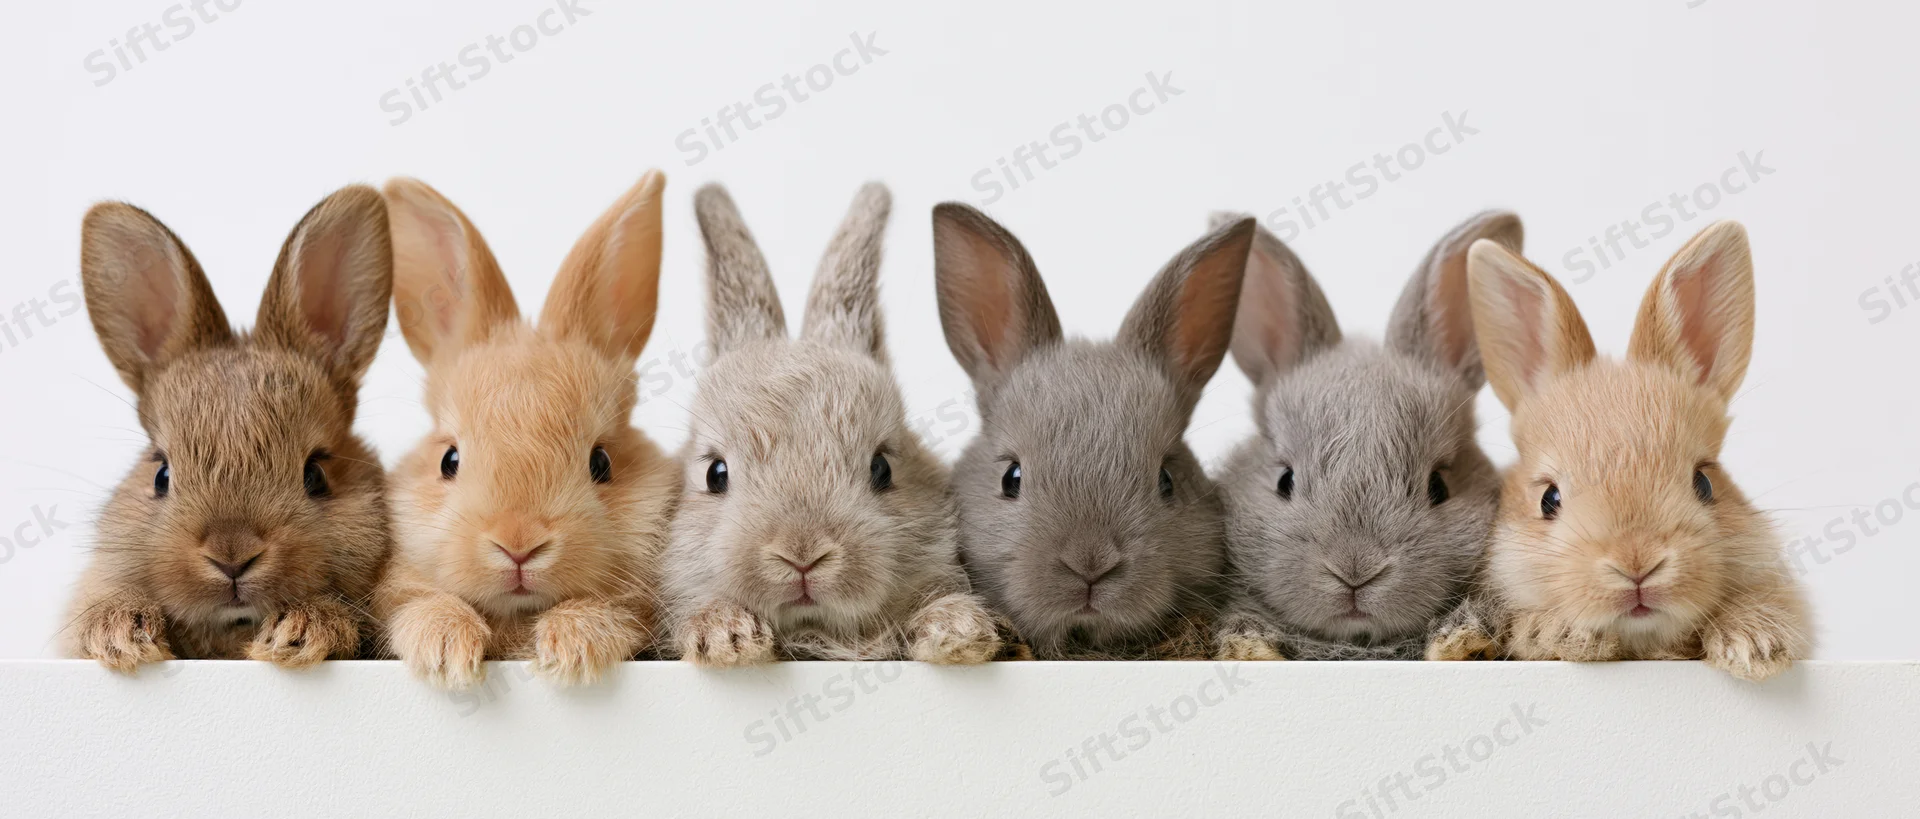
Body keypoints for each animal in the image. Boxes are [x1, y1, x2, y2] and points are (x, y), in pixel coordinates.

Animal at [374, 171, 680, 690]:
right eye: (449, 460)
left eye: (602, 462)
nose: (518, 545)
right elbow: (419, 604)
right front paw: (447, 650)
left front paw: (572, 647)